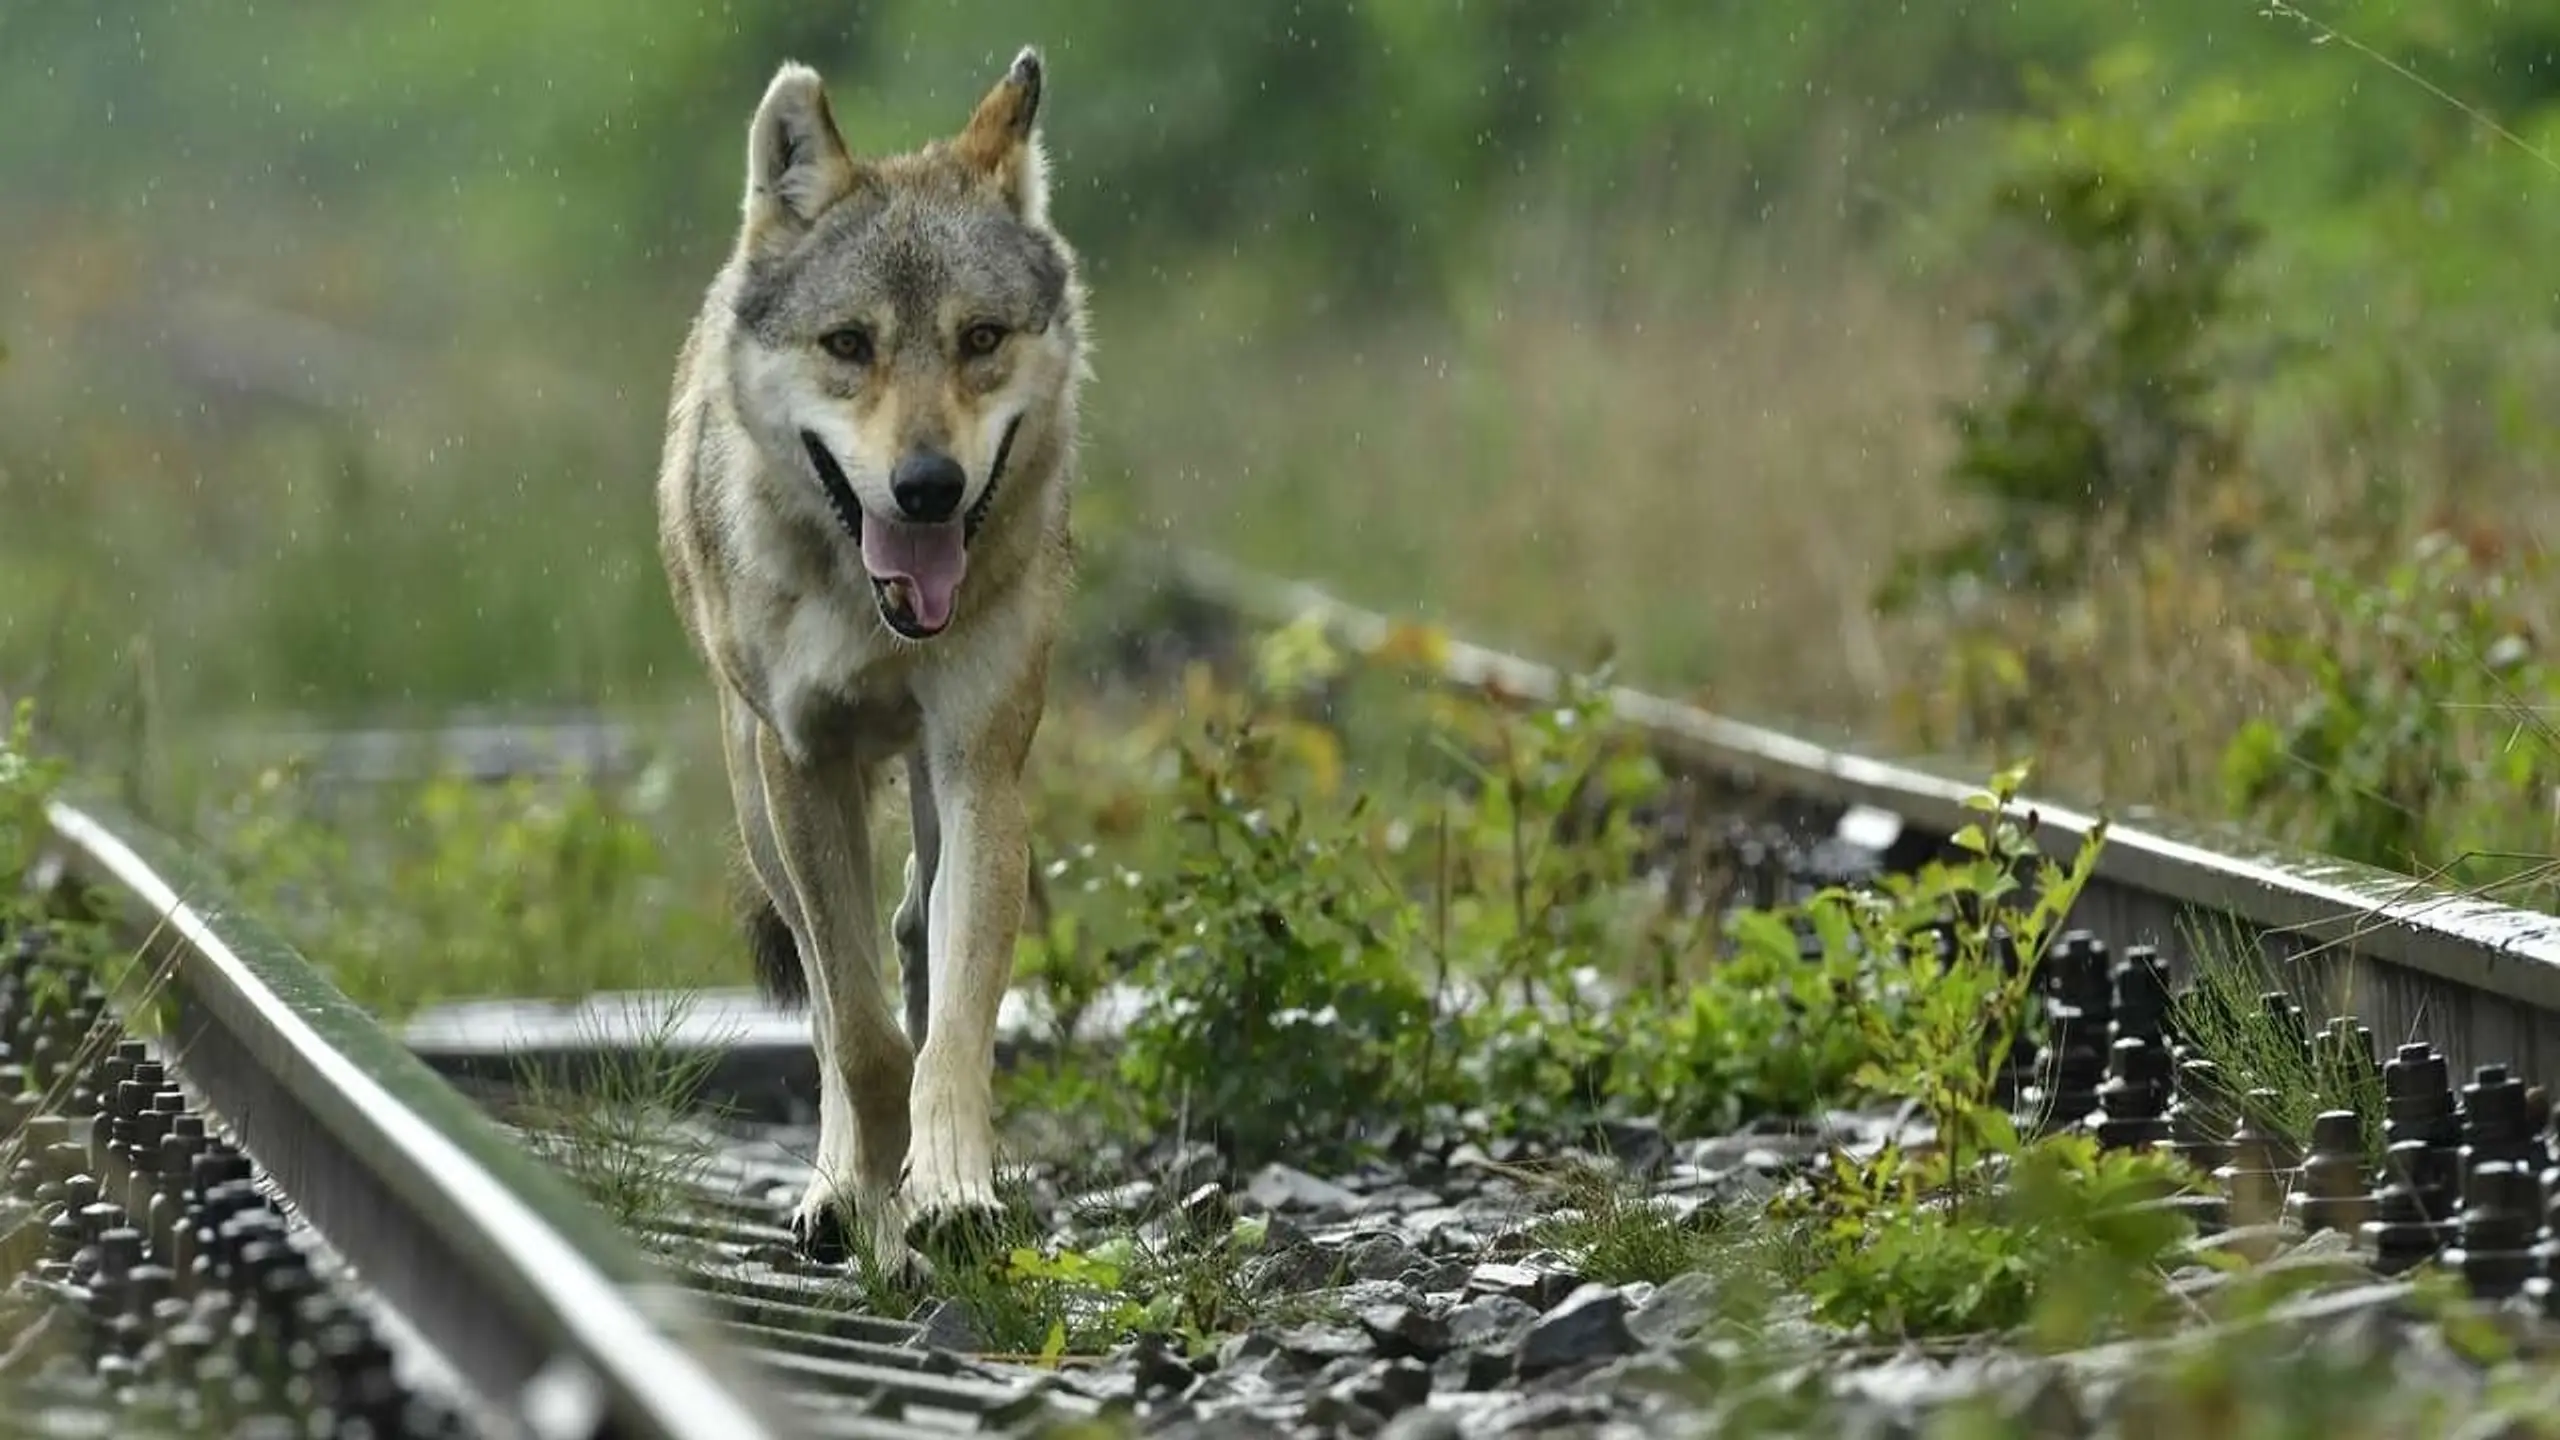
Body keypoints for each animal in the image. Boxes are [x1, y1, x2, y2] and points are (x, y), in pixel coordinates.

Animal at [655, 44, 1085, 1260]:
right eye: (849, 345)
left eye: (980, 340)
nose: (927, 486)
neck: (872, 611)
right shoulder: (804, 763)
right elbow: (858, 1036)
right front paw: (866, 1197)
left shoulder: (981, 767)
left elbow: (951, 1033)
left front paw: (952, 1193)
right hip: (758, 797)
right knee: (820, 981)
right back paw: (836, 1190)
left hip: (939, 795)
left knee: (912, 938)